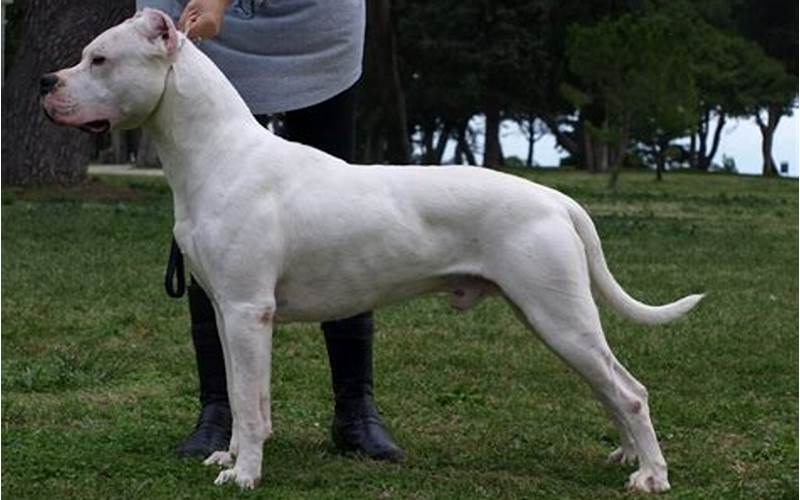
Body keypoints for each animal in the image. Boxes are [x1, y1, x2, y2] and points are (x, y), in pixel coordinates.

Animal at [41, 8, 703, 492]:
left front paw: (246, 475)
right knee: (611, 387)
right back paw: (627, 456)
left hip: (558, 314)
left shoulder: (249, 311)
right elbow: (239, 392)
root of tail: (556, 198)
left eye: (99, 58)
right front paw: (229, 458)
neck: (216, 152)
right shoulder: (229, 314)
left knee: (629, 391)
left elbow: (250, 405)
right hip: (551, 317)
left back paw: (652, 476)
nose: (46, 83)